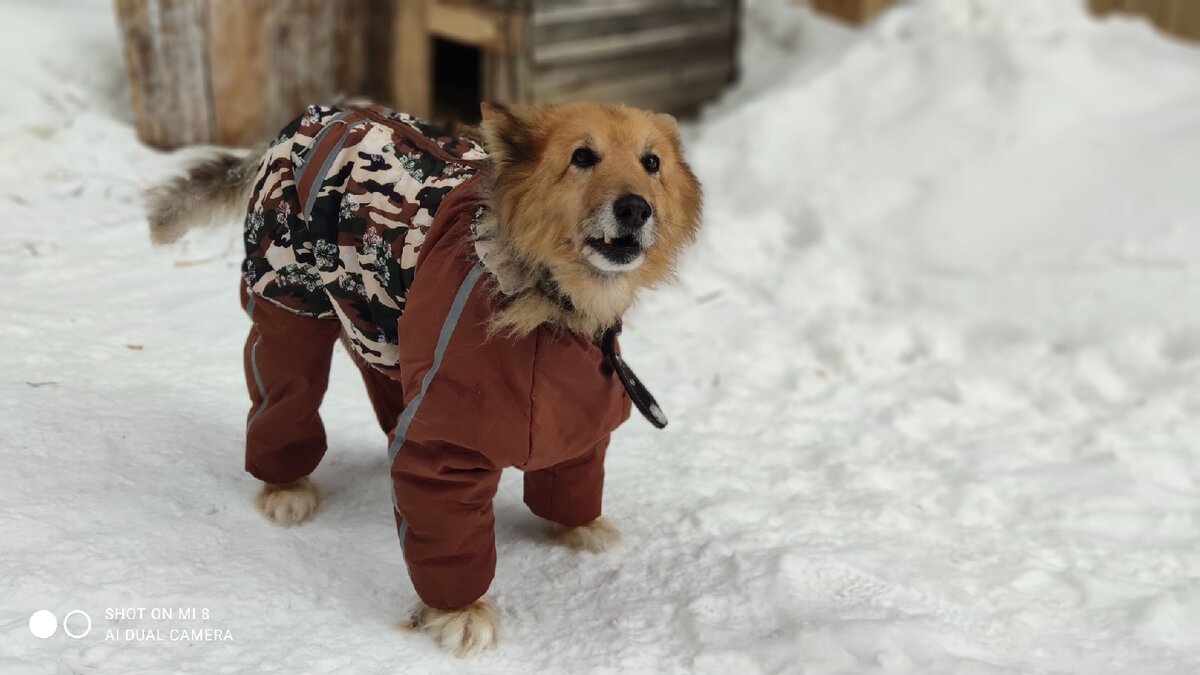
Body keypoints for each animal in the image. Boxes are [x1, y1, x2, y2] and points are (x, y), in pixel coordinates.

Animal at [147, 102, 700, 653]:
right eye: (583, 156)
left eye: (651, 163)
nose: (635, 209)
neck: (547, 305)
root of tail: (314, 114)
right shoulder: (446, 433)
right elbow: (445, 525)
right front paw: (459, 613)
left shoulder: (577, 407)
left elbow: (571, 471)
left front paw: (578, 526)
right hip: (289, 308)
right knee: (283, 392)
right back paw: (285, 487)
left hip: (379, 325)